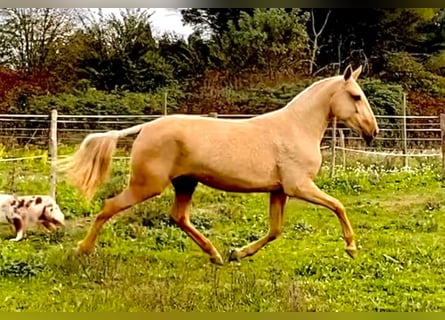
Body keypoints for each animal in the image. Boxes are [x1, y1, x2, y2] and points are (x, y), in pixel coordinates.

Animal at [58, 64, 378, 264]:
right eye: (355, 96)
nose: (372, 132)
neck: (297, 127)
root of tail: (146, 127)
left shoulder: (279, 190)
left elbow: (275, 230)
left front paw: (238, 253)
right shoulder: (299, 186)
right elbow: (338, 205)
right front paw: (351, 247)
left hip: (185, 183)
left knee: (179, 217)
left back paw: (217, 255)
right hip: (147, 185)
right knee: (109, 206)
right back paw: (82, 250)